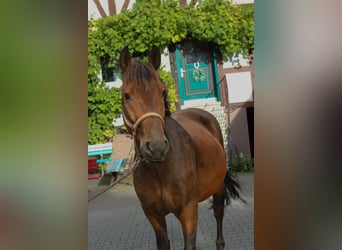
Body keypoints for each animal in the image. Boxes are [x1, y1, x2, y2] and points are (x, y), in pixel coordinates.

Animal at [120, 45, 243, 250]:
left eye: (162, 92)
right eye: (126, 95)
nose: (156, 147)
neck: (160, 169)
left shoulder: (188, 211)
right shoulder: (153, 214)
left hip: (217, 189)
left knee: (218, 214)